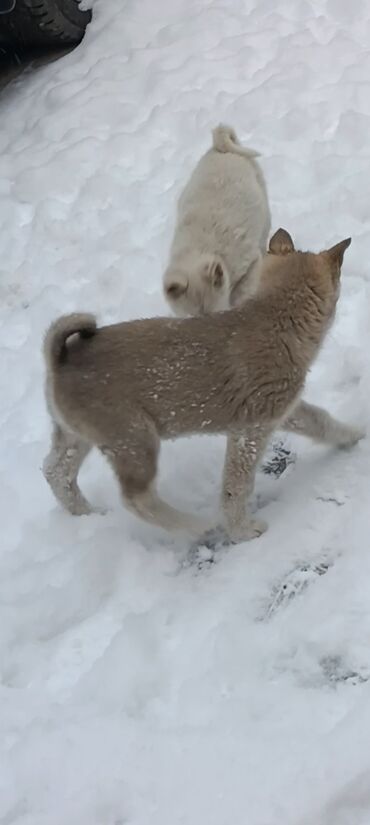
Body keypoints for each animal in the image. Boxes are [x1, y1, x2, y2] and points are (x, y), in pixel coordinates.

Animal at [42, 230, 362, 540]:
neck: (275, 319)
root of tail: (62, 359)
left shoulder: (285, 411)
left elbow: (322, 421)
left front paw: (353, 435)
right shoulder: (249, 432)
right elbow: (236, 487)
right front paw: (240, 530)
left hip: (76, 438)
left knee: (56, 473)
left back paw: (86, 513)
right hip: (136, 441)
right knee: (136, 499)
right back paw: (193, 526)